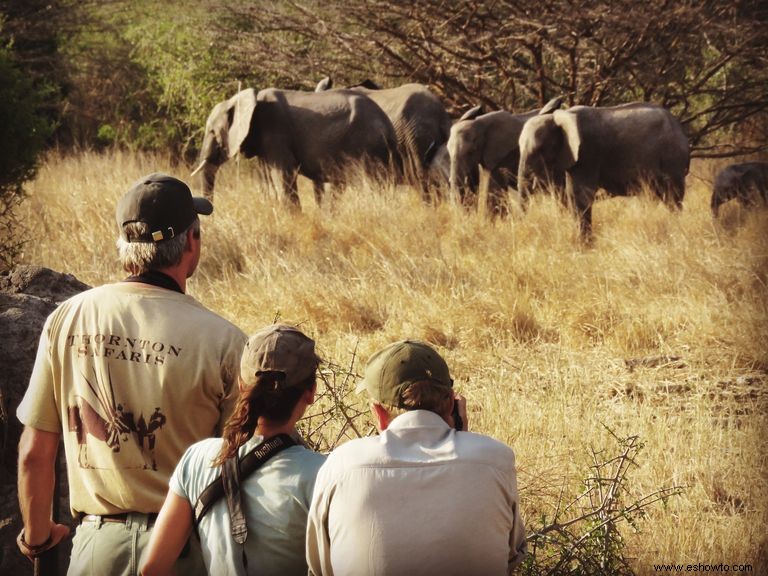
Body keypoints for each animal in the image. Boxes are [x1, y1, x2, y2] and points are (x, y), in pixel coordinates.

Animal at [191, 86, 400, 206]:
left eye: (212, 132)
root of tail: (388, 125)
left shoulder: (275, 130)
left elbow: (283, 176)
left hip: (368, 145)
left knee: (372, 184)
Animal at [516, 102, 688, 237]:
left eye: (539, 149)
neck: (559, 118)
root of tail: (678, 125)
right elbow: (570, 194)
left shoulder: (587, 153)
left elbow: (580, 196)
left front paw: (584, 246)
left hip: (672, 159)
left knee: (672, 197)